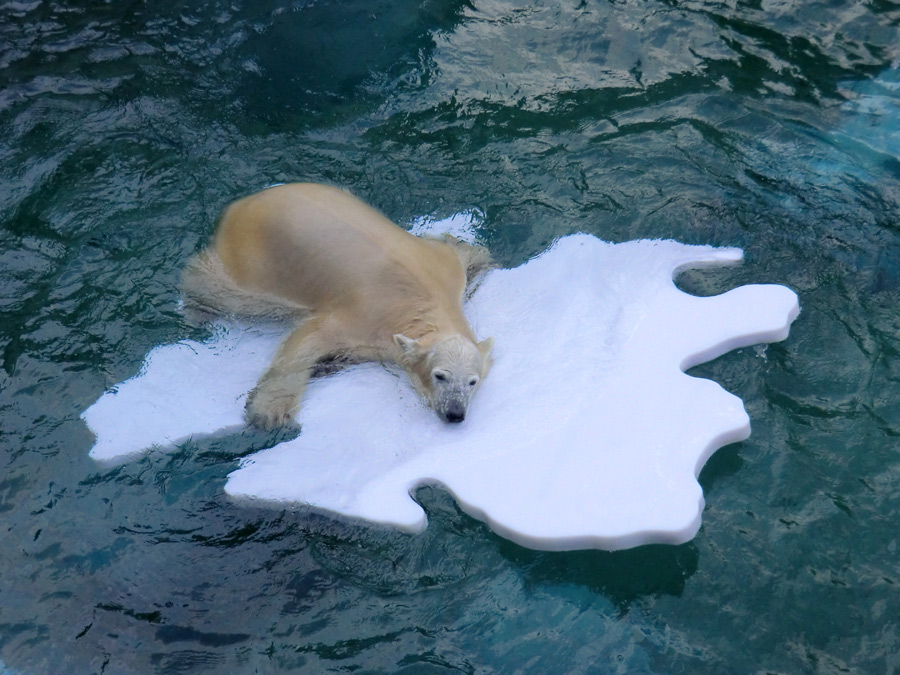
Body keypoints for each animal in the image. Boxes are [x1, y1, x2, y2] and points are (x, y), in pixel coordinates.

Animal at [180, 182, 496, 430]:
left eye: (472, 381)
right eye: (439, 375)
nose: (455, 413)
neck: (421, 301)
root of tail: (239, 206)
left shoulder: (446, 269)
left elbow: (471, 254)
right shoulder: (366, 314)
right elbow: (308, 340)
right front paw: (269, 412)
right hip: (256, 262)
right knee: (222, 289)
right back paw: (197, 309)